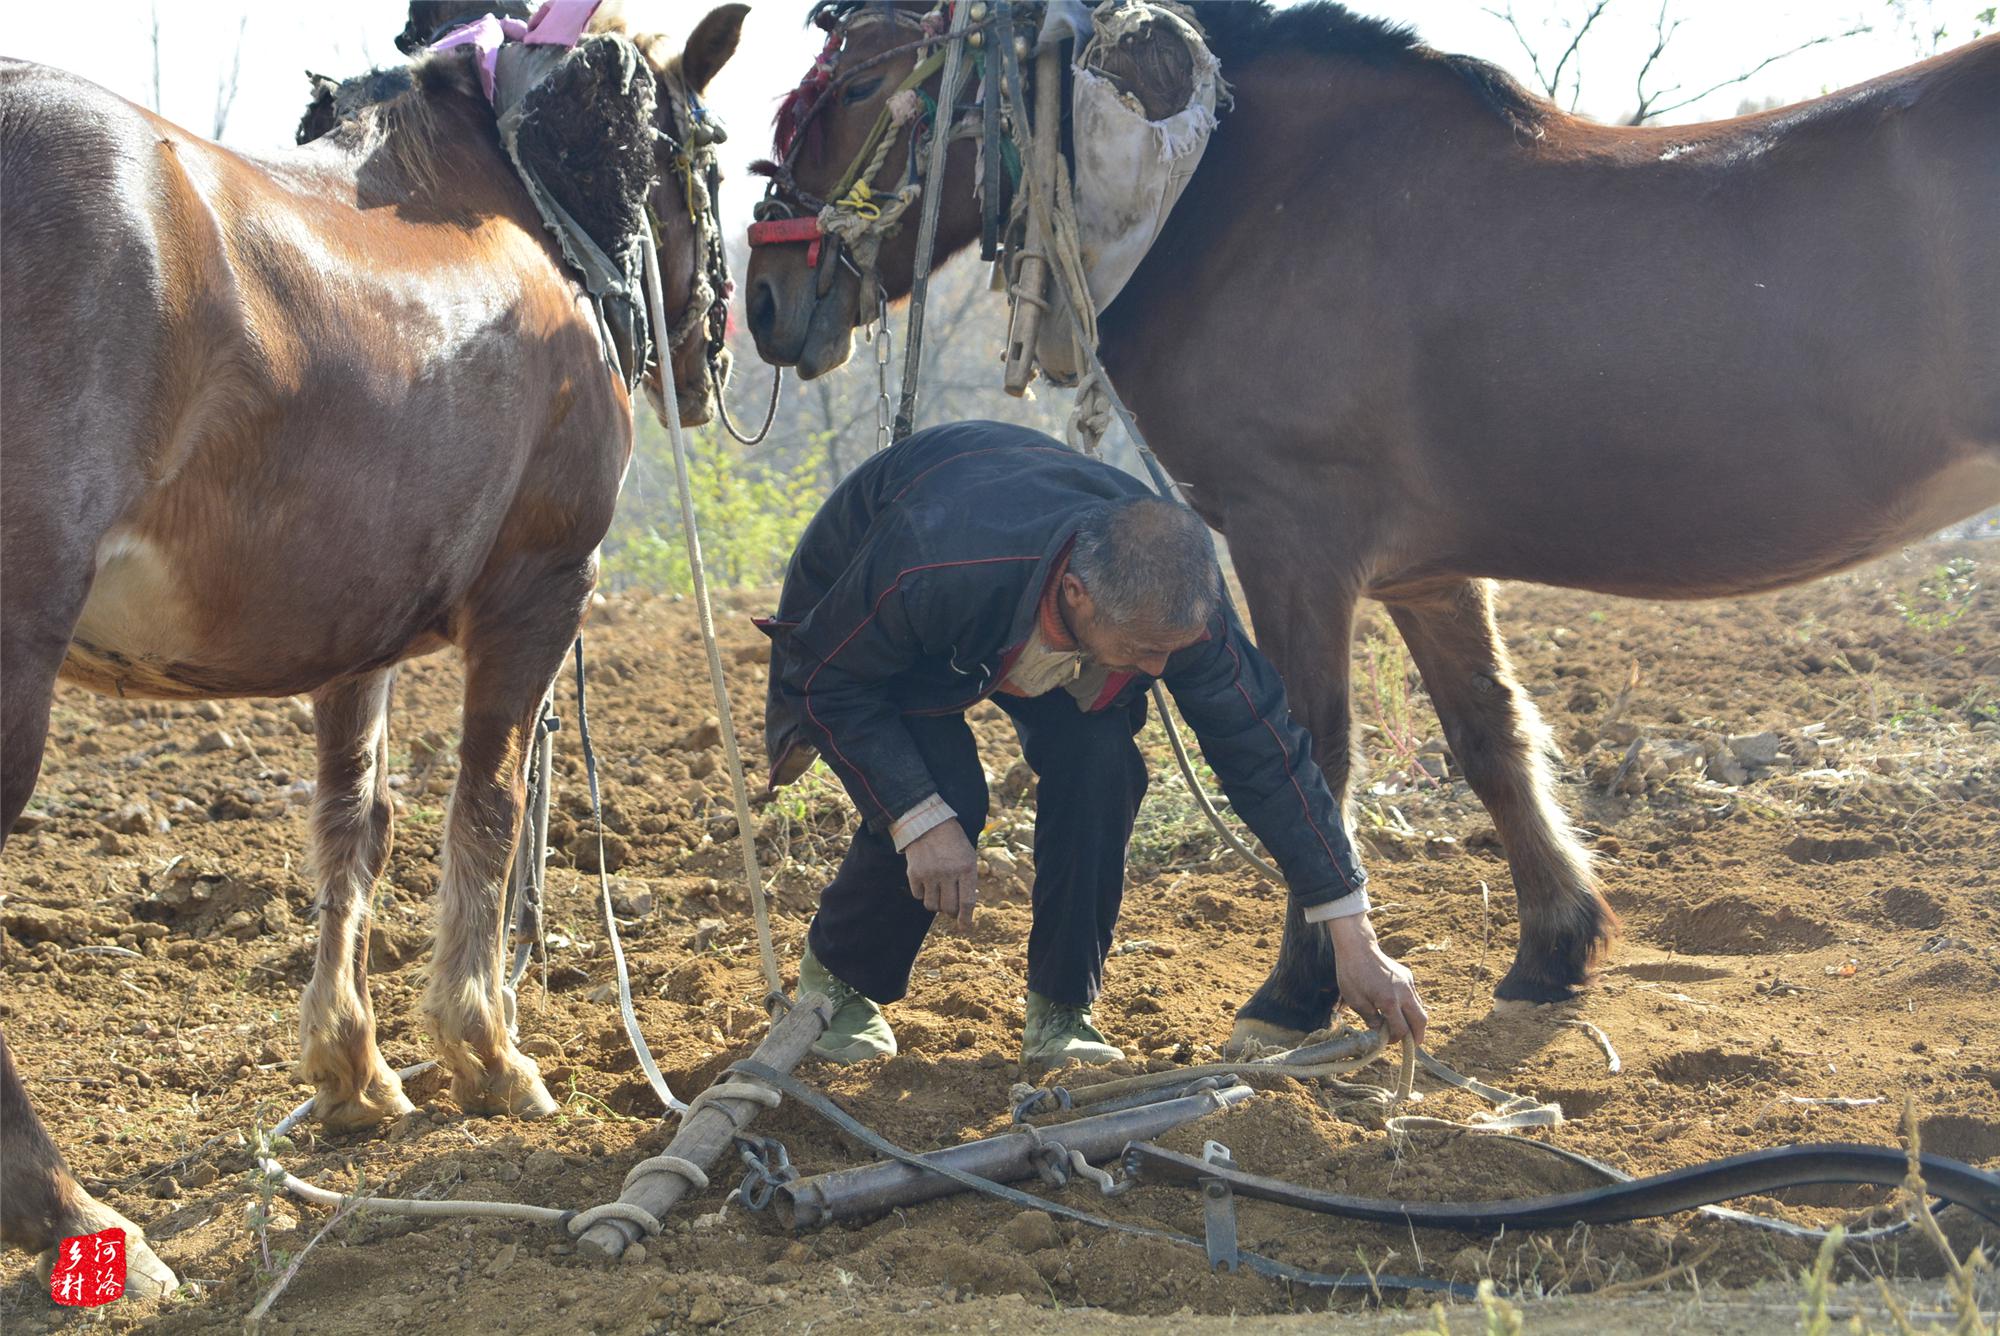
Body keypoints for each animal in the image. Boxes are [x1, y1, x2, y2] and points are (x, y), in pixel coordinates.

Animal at [0, 2, 752, 1296]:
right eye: (703, 151)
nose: (716, 354)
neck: (509, 207)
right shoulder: (538, 592)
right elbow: (487, 805)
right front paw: (486, 1052)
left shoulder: (358, 631)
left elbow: (354, 824)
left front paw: (353, 1074)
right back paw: (78, 1219)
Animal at [752, 10, 2000, 1048]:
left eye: (855, 83)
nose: (764, 302)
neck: (1229, 197)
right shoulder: (1423, 575)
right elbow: (1489, 740)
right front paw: (1550, 950)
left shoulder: (1290, 543)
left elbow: (1314, 756)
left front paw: (1297, 992)